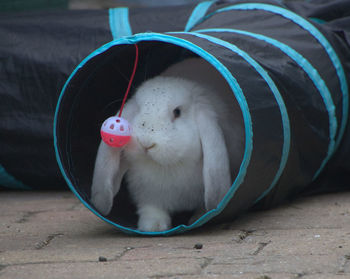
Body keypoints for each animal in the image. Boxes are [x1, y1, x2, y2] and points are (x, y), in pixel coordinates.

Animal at [91, 58, 243, 233]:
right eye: (139, 109)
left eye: (177, 112)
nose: (145, 143)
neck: (168, 166)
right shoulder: (148, 195)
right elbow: (152, 209)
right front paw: (152, 227)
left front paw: (198, 218)